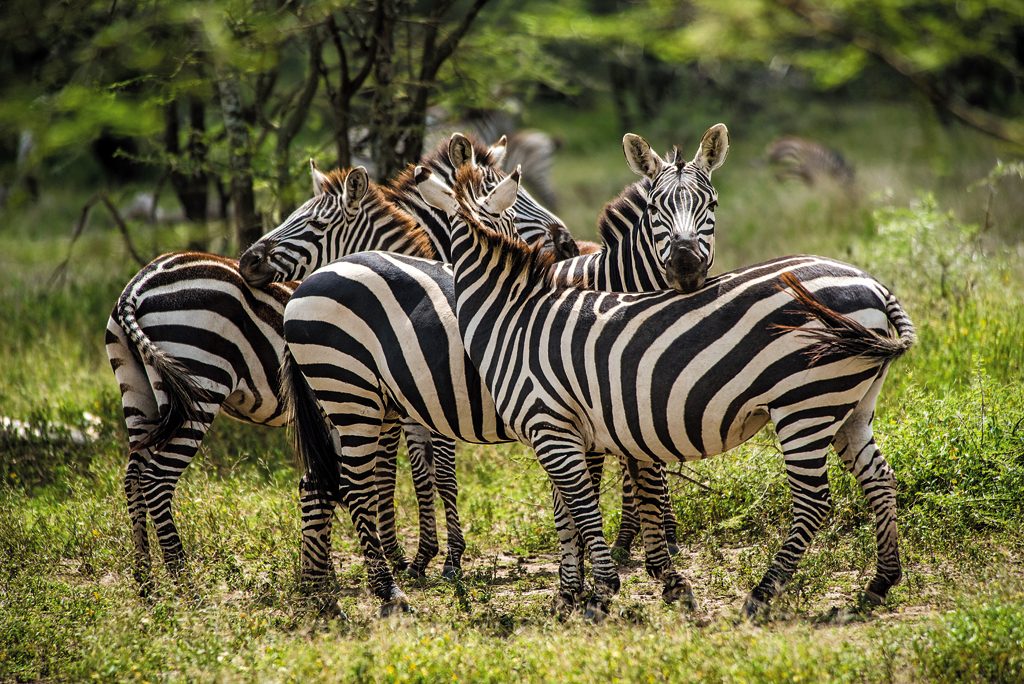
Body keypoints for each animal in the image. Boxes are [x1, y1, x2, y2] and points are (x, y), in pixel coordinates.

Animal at [107, 133, 555, 593]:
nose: (565, 240)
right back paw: (181, 578)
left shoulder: (392, 407)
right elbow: (419, 473)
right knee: (158, 479)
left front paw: (399, 558)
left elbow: (392, 474)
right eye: (513, 202)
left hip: (142, 394)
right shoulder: (412, 401)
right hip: (200, 385)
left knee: (135, 476)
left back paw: (145, 579)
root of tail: (135, 287)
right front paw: (439, 560)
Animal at [280, 125, 730, 613]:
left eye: (712, 204)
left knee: (318, 481)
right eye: (655, 209)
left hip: (346, 399)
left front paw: (608, 573)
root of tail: (305, 286)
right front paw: (613, 574)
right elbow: (601, 487)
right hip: (349, 393)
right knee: (351, 484)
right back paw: (379, 591)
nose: (686, 267)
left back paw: (320, 589)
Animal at [412, 161, 914, 619]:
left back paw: (761, 594)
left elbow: (581, 508)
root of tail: (873, 284)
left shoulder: (550, 427)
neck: (510, 316)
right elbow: (567, 515)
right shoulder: (564, 432)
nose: (566, 245)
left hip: (805, 403)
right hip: (850, 404)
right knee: (879, 477)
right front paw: (570, 594)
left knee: (813, 502)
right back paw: (879, 584)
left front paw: (599, 593)